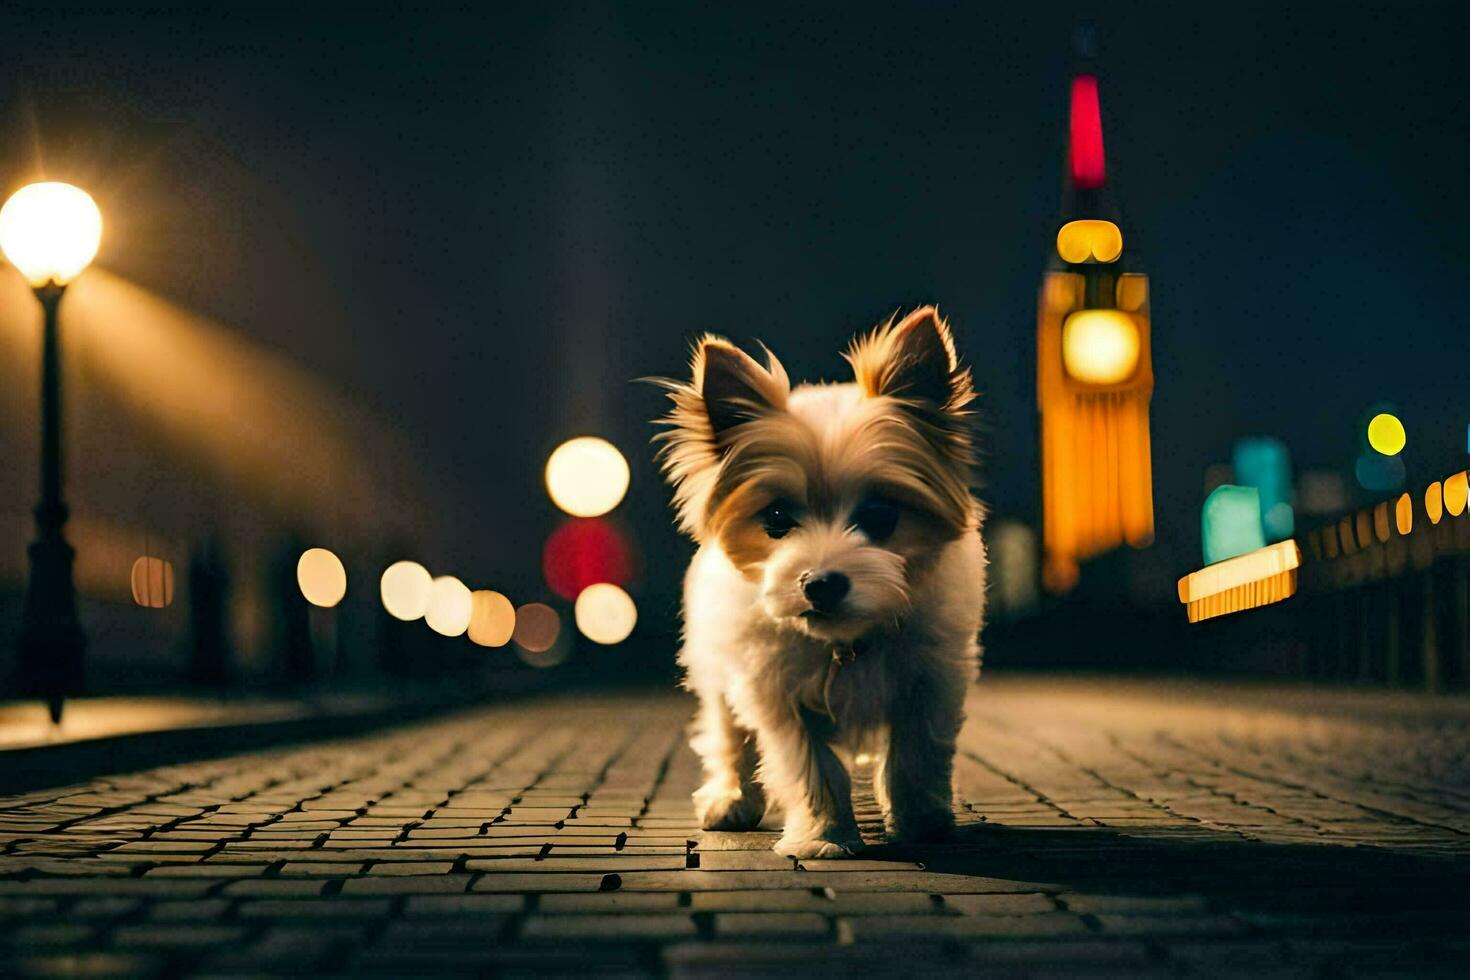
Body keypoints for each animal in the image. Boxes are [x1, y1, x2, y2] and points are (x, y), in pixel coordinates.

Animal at [655, 307, 987, 858]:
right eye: (776, 519)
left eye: (881, 515)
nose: (821, 584)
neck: (843, 643)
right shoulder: (776, 695)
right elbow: (812, 768)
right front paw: (825, 837)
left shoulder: (931, 679)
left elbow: (916, 755)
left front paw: (922, 824)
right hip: (716, 668)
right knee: (728, 735)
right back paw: (730, 799)